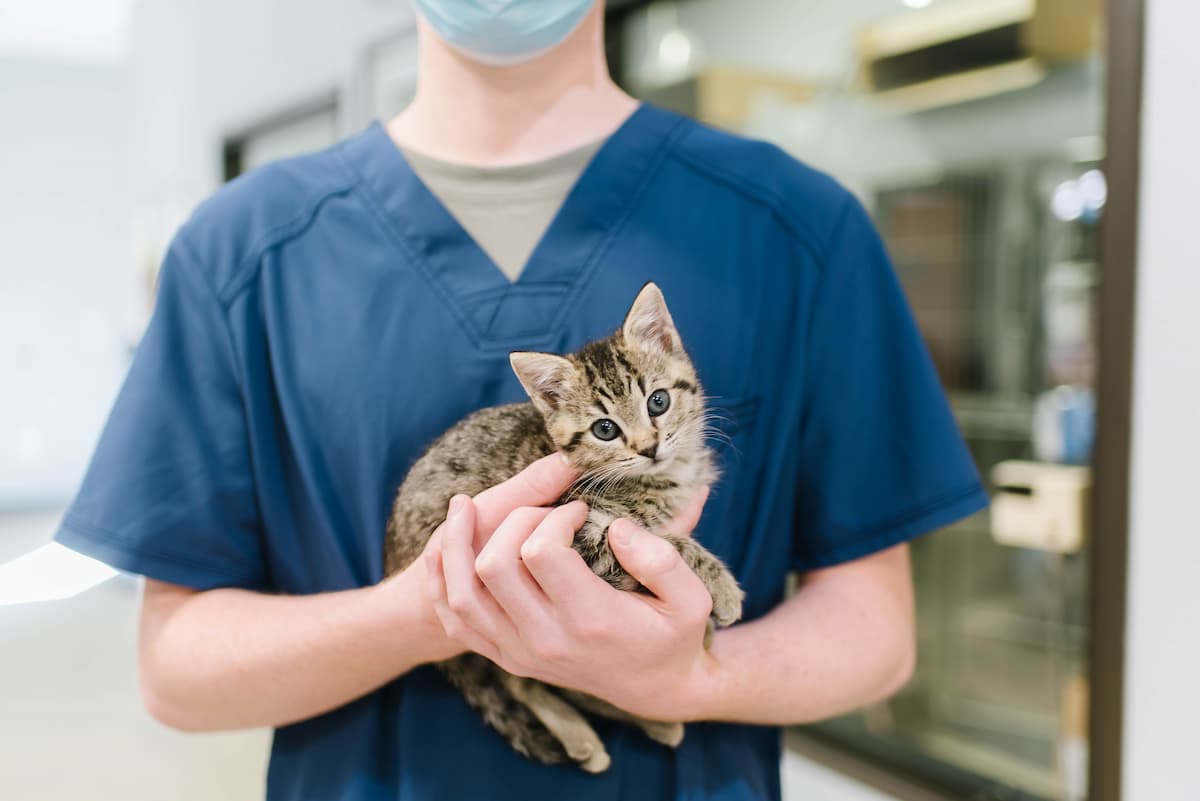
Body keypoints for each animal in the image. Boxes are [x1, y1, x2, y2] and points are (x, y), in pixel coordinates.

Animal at [384, 284, 739, 772]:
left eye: (658, 401)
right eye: (605, 429)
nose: (648, 448)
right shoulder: (578, 529)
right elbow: (663, 540)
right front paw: (720, 591)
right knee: (523, 681)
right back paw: (586, 734)